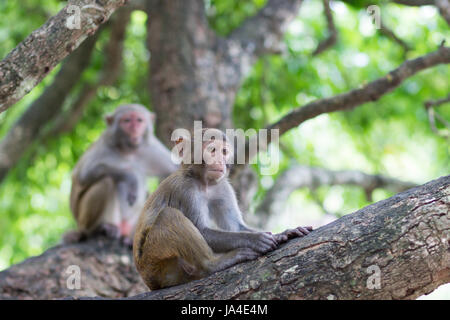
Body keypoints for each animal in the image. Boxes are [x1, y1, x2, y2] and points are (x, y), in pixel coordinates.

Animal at [65, 104, 178, 244]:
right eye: (127, 121)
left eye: (139, 120)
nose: (134, 129)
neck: (128, 151)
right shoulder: (104, 146)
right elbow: (83, 176)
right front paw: (130, 178)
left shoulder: (151, 147)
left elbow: (175, 171)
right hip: (83, 221)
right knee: (106, 181)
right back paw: (101, 228)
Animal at [132, 127, 312, 290]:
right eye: (212, 150)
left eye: (224, 151)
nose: (220, 161)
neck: (204, 183)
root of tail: (149, 281)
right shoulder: (185, 190)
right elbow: (202, 230)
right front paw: (256, 239)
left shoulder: (223, 186)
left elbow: (235, 227)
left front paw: (282, 233)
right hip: (156, 263)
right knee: (169, 215)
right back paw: (213, 265)